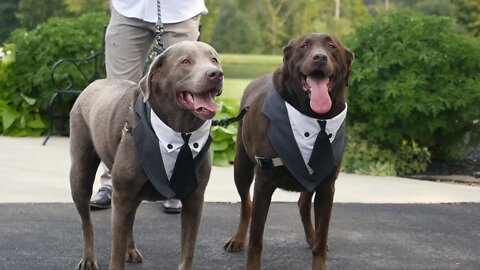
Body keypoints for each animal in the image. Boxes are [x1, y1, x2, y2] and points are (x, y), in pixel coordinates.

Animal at [70, 40, 224, 270]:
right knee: (86, 220)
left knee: (129, 220)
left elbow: (188, 249)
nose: (216, 74)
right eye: (185, 62)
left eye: (214, 60)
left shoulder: (195, 198)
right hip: (81, 172)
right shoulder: (122, 194)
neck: (180, 133)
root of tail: (94, 83)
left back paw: (130, 250)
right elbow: (115, 252)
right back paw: (89, 259)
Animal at [224, 32, 352, 268]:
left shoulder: (327, 187)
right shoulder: (264, 184)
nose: (320, 57)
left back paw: (312, 237)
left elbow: (321, 241)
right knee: (246, 204)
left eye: (332, 47)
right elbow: (256, 241)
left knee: (303, 203)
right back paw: (237, 239)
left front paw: (318, 249)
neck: (312, 117)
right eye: (303, 46)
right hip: (241, 167)